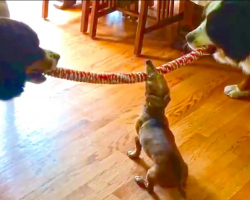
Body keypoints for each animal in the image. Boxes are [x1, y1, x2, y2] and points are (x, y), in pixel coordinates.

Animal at [128, 60, 188, 198]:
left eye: (150, 78)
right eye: (161, 74)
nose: (148, 61)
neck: (155, 111)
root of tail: (177, 179)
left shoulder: (137, 137)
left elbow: (137, 150)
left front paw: (133, 155)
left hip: (151, 173)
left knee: (150, 189)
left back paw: (140, 181)